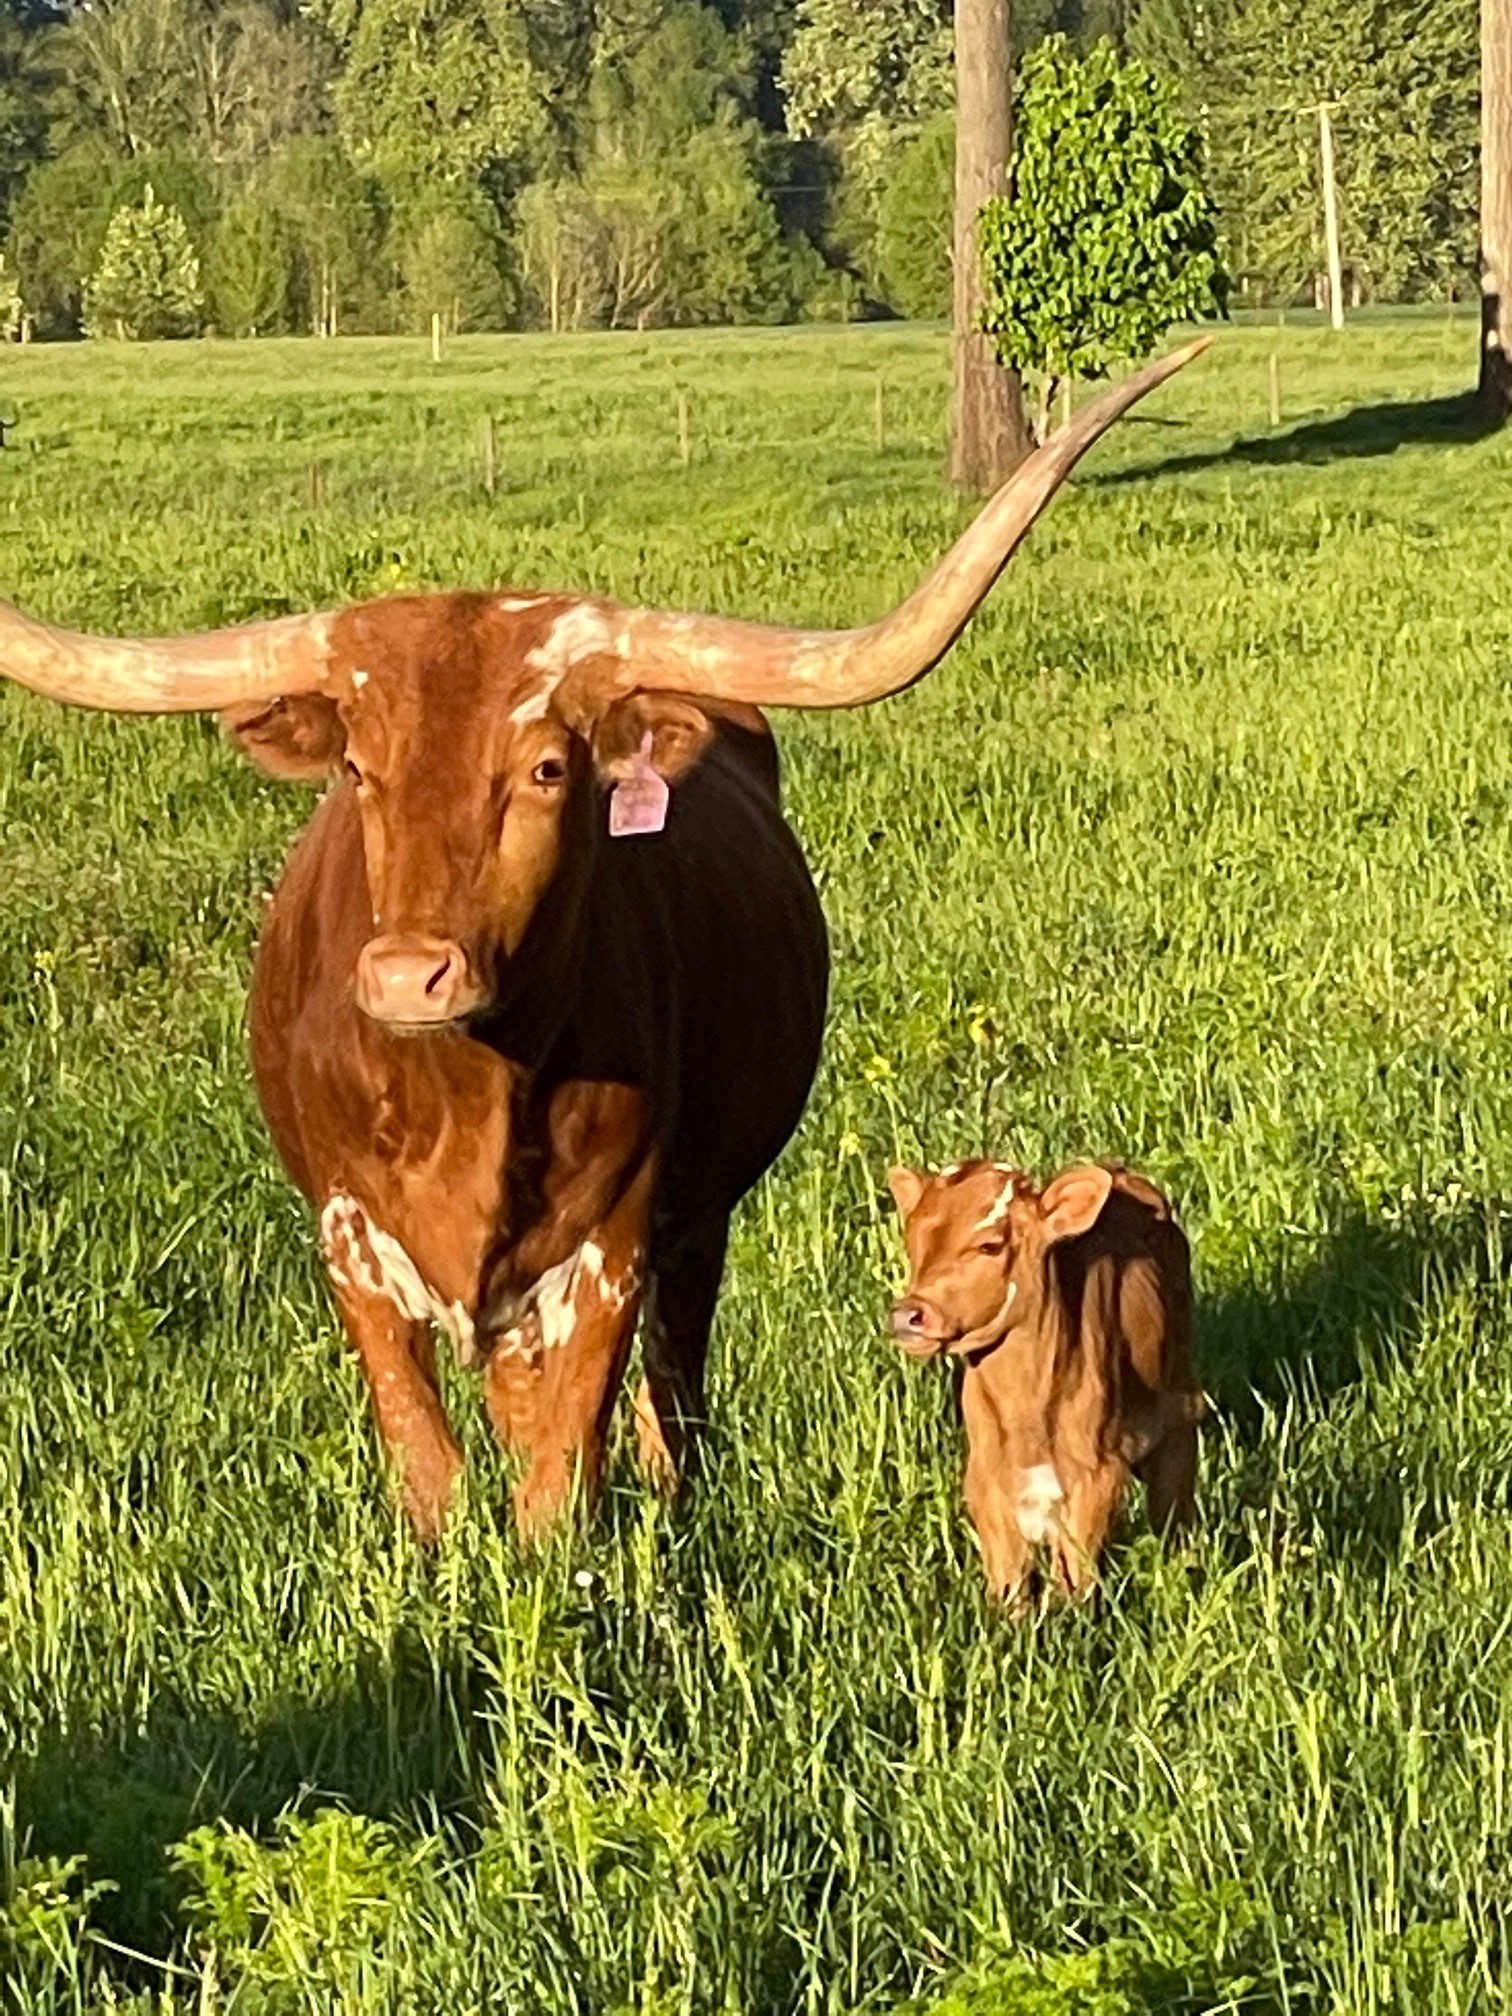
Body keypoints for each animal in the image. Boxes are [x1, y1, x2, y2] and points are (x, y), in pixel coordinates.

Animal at [0, 341, 1204, 1542]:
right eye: (356, 770)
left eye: (546, 769)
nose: (409, 974)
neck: (467, 1092)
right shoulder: (349, 1237)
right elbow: (428, 1456)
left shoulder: (612, 1243)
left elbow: (563, 1467)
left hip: (699, 1220)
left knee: (674, 1381)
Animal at [887, 1158, 1203, 1606]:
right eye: (912, 1240)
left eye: (990, 1245)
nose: (908, 1314)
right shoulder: (986, 1477)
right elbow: (1010, 1578)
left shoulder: (1098, 1473)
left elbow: (1073, 1576)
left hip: (1180, 1411)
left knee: (1174, 1513)